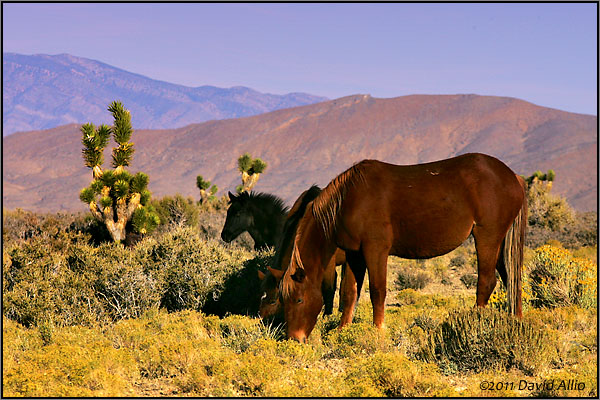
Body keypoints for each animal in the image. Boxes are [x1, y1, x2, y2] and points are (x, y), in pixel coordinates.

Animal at [280, 153, 524, 340]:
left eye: (298, 299)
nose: (294, 338)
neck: (348, 199)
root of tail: (513, 176)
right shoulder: (354, 254)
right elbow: (349, 293)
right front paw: (342, 331)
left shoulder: (375, 249)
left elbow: (377, 291)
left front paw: (378, 330)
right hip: (500, 244)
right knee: (511, 279)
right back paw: (517, 323)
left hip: (486, 237)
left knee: (487, 282)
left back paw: (475, 323)